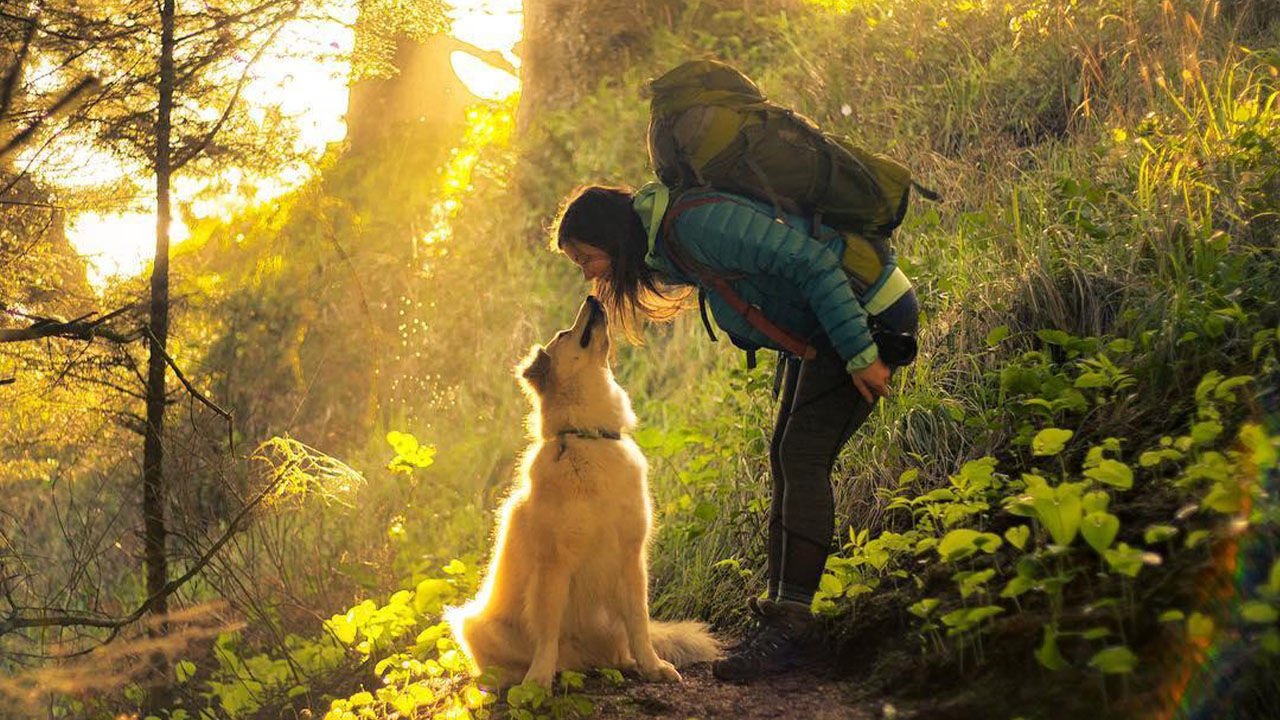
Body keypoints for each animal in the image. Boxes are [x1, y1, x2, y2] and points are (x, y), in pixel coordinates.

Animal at [445, 295, 721, 681]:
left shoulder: (631, 559)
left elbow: (639, 622)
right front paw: (538, 682)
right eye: (564, 334)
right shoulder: (554, 563)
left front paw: (652, 666)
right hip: (478, 625)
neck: (589, 439)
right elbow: (547, 631)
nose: (593, 297)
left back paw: (625, 664)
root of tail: (584, 662)